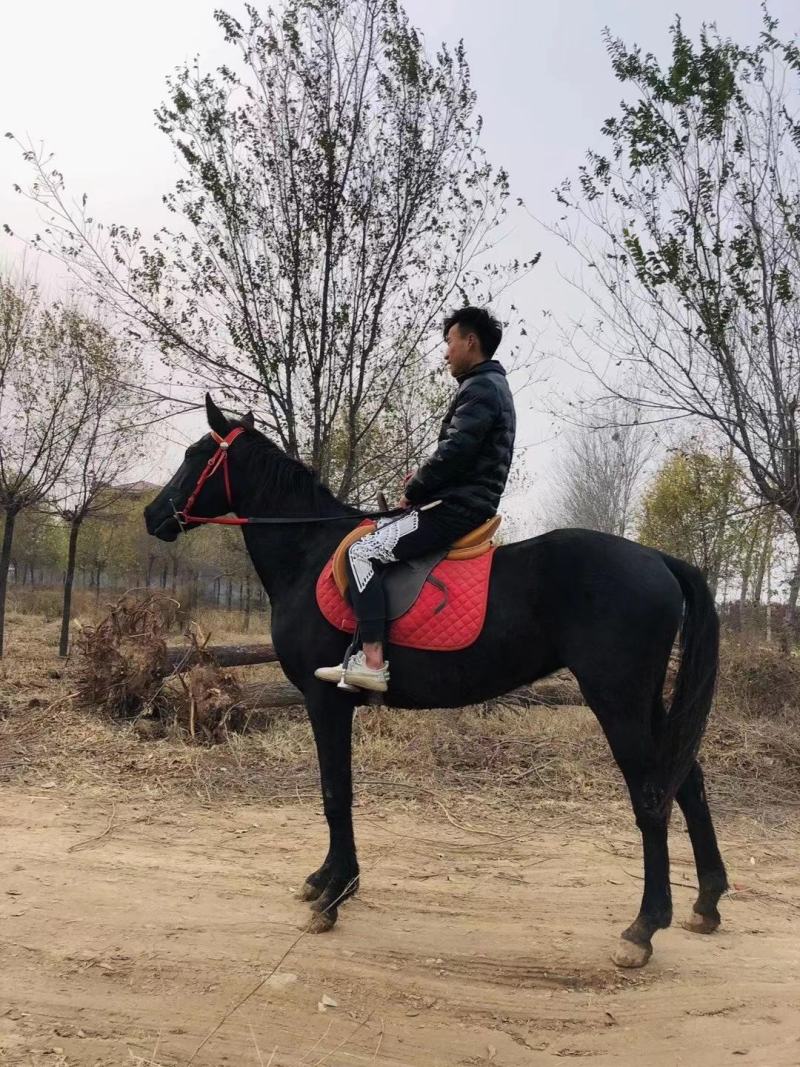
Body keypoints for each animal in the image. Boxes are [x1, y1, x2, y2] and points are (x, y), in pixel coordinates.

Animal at [143, 395, 728, 969]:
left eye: (197, 454)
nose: (152, 515)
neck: (309, 555)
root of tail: (658, 559)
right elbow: (338, 791)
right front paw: (326, 880)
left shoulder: (323, 701)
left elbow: (335, 792)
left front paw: (334, 897)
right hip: (647, 702)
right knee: (688, 783)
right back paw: (706, 903)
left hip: (617, 699)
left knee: (651, 795)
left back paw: (643, 928)